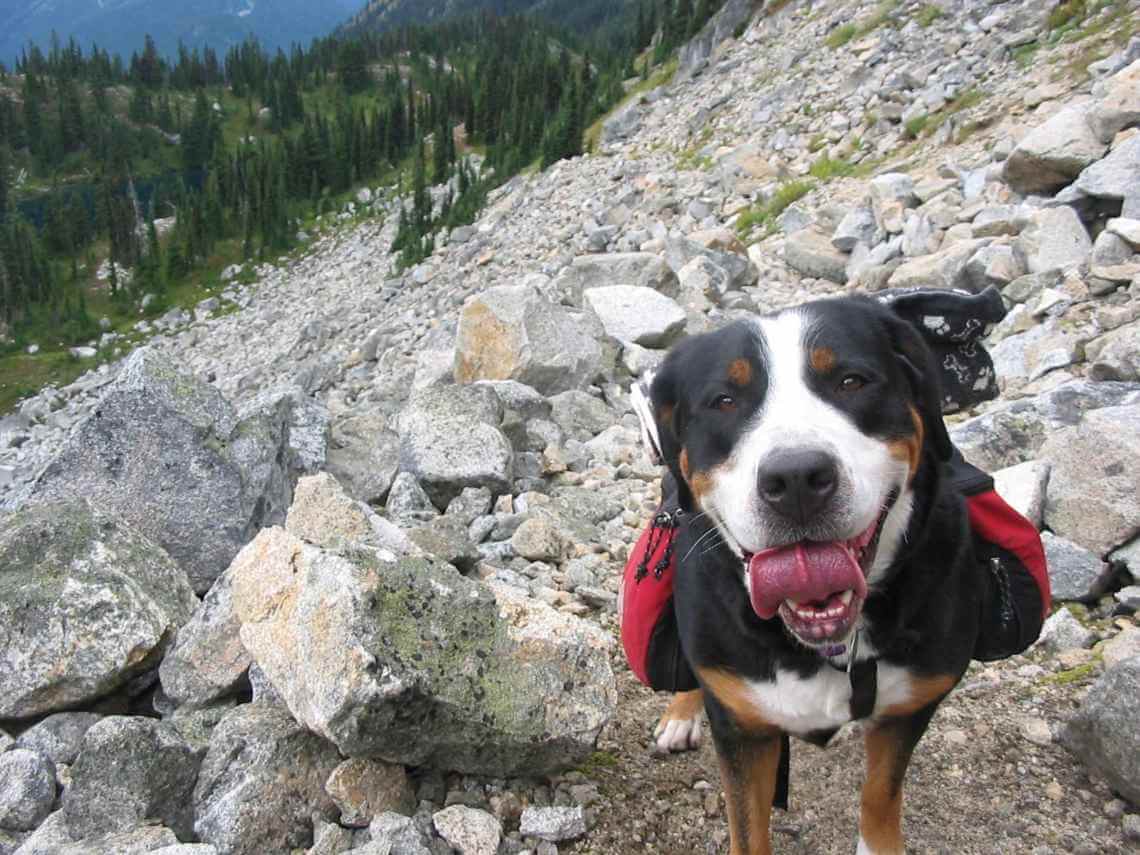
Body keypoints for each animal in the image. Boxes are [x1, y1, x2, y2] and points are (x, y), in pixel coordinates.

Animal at [633, 296, 980, 855]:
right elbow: (747, 828)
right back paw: (681, 715)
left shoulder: (914, 702)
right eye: (724, 401)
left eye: (852, 381)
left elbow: (881, 791)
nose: (795, 477)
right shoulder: (743, 731)